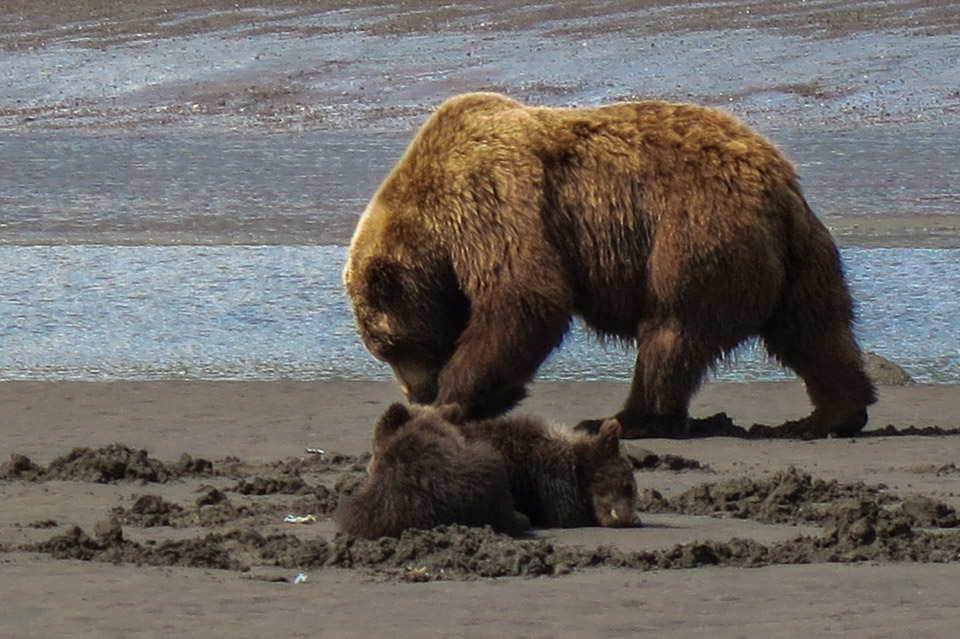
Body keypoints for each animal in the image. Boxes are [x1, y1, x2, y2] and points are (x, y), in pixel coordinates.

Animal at [344, 91, 876, 440]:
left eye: (388, 344)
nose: (417, 392)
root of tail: (778, 183)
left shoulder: (489, 202)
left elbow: (525, 297)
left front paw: (452, 401)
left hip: (695, 233)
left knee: (671, 331)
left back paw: (628, 419)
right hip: (799, 257)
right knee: (814, 330)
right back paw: (832, 415)